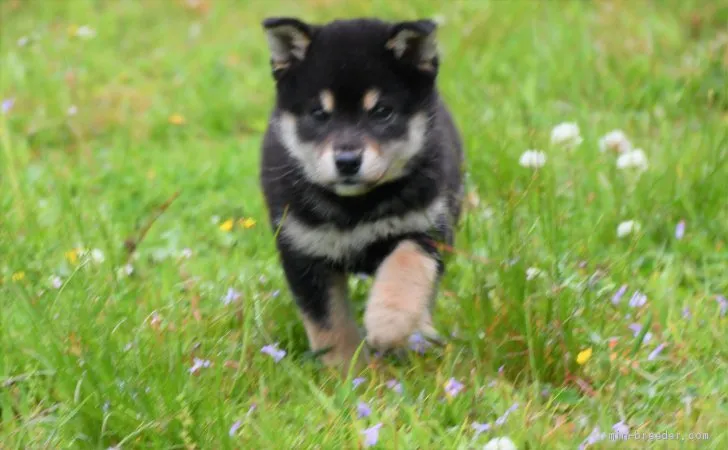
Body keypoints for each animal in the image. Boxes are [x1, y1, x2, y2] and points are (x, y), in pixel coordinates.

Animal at [258, 16, 464, 370]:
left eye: (381, 112)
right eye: (319, 114)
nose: (347, 161)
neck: (356, 208)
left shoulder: (426, 228)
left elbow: (405, 267)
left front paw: (387, 323)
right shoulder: (303, 252)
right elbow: (329, 323)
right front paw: (347, 371)